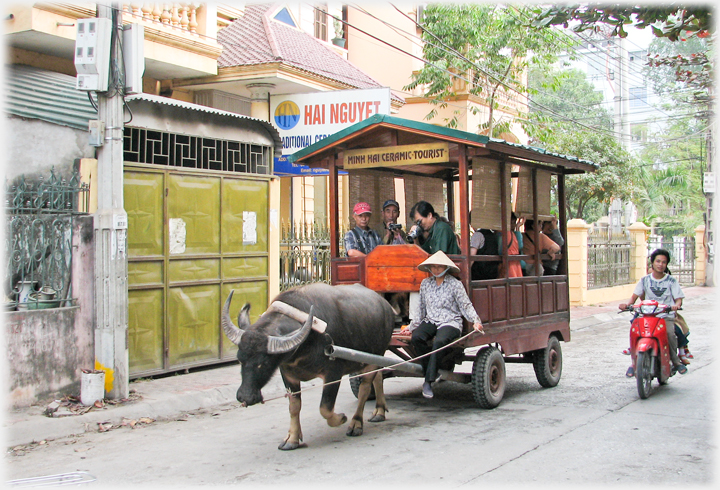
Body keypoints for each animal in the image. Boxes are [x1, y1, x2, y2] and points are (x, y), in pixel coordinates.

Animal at [222, 282, 396, 450]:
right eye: (240, 359)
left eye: (263, 363)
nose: (245, 397)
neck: (306, 343)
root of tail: (386, 306)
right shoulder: (288, 374)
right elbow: (294, 406)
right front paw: (292, 438)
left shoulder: (333, 373)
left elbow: (325, 408)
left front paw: (341, 418)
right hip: (373, 358)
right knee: (377, 377)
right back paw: (379, 411)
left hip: (374, 357)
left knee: (364, 389)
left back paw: (356, 423)